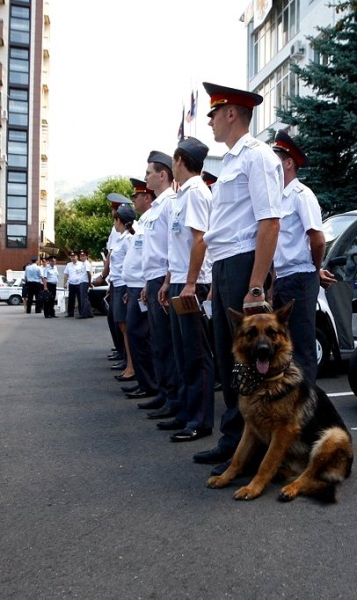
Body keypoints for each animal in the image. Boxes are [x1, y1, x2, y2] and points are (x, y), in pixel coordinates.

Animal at [207, 300, 352, 502]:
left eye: (271, 332)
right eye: (251, 333)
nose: (263, 350)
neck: (264, 383)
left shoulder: (283, 431)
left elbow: (266, 462)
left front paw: (253, 488)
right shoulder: (250, 428)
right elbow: (238, 456)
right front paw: (224, 477)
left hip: (334, 435)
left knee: (308, 474)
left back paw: (291, 488)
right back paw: (280, 475)